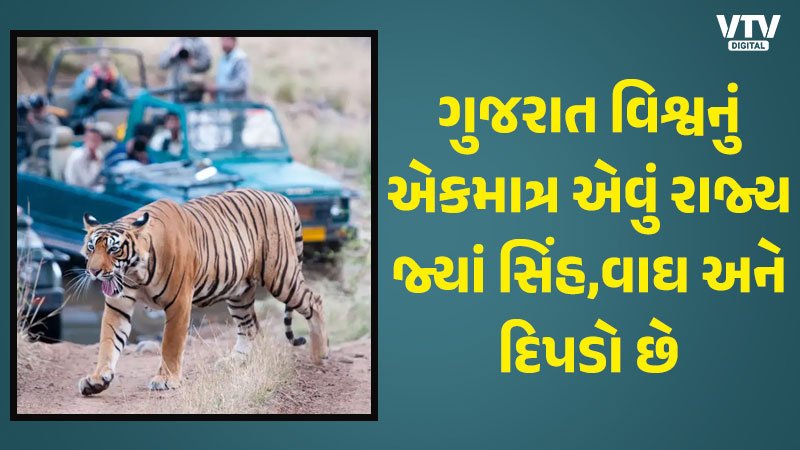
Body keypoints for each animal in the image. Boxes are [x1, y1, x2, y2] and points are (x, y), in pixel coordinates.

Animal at [77, 188, 328, 396]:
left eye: (113, 249)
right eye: (91, 248)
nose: (94, 271)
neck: (135, 273)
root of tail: (282, 197)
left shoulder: (178, 303)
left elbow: (170, 344)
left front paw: (166, 379)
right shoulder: (118, 304)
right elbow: (109, 341)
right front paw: (97, 379)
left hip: (281, 276)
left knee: (315, 301)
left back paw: (320, 356)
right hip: (240, 292)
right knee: (250, 327)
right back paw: (234, 362)